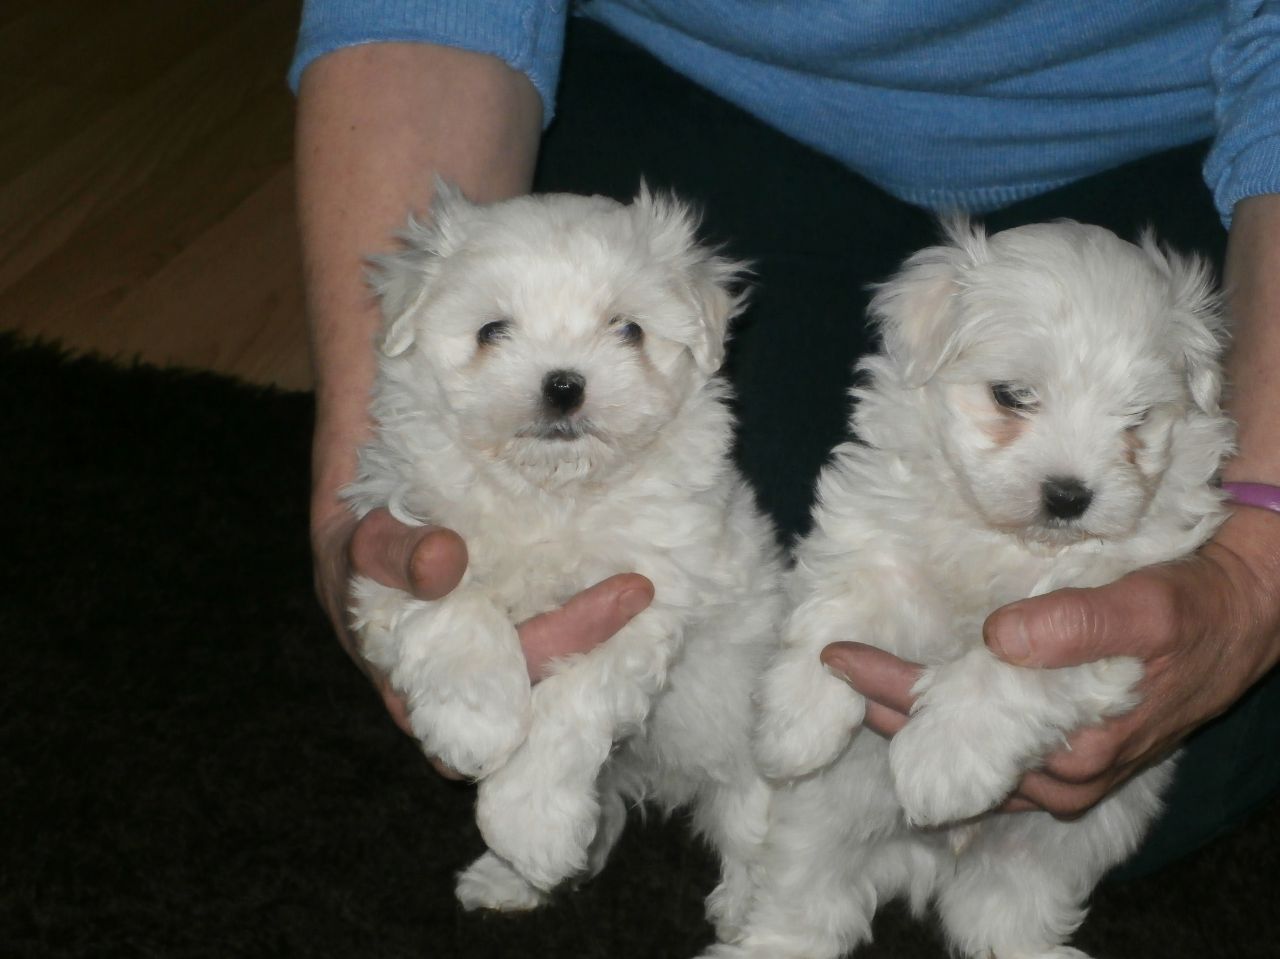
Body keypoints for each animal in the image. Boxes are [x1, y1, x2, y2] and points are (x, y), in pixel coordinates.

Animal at [343, 183, 778, 921]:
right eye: (491, 331)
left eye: (628, 330)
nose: (564, 384)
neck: (551, 492)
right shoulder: (403, 535)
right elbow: (455, 602)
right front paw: (475, 726)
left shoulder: (644, 597)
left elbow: (572, 703)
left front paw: (531, 824)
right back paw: (511, 878)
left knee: (762, 829)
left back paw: (753, 916)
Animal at [711, 218, 1239, 957]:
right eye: (1011, 396)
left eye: (1137, 418)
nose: (1068, 495)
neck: (1003, 543)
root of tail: (927, 860)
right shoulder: (876, 536)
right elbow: (840, 607)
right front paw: (794, 723)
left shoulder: (1105, 605)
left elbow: (1006, 665)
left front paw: (941, 761)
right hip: (822, 821)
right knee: (802, 896)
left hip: (1059, 847)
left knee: (1009, 912)